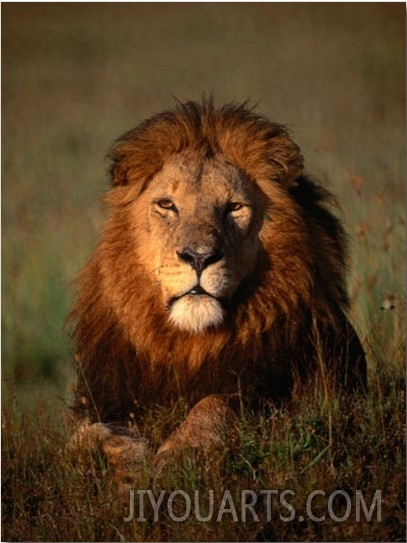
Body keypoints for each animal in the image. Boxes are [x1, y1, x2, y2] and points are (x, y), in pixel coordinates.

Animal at [68, 100, 368, 478]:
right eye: (166, 204)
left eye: (234, 207)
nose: (199, 257)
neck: (190, 344)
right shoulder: (102, 398)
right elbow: (83, 436)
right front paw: (130, 461)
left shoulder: (295, 394)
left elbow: (216, 405)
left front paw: (179, 456)